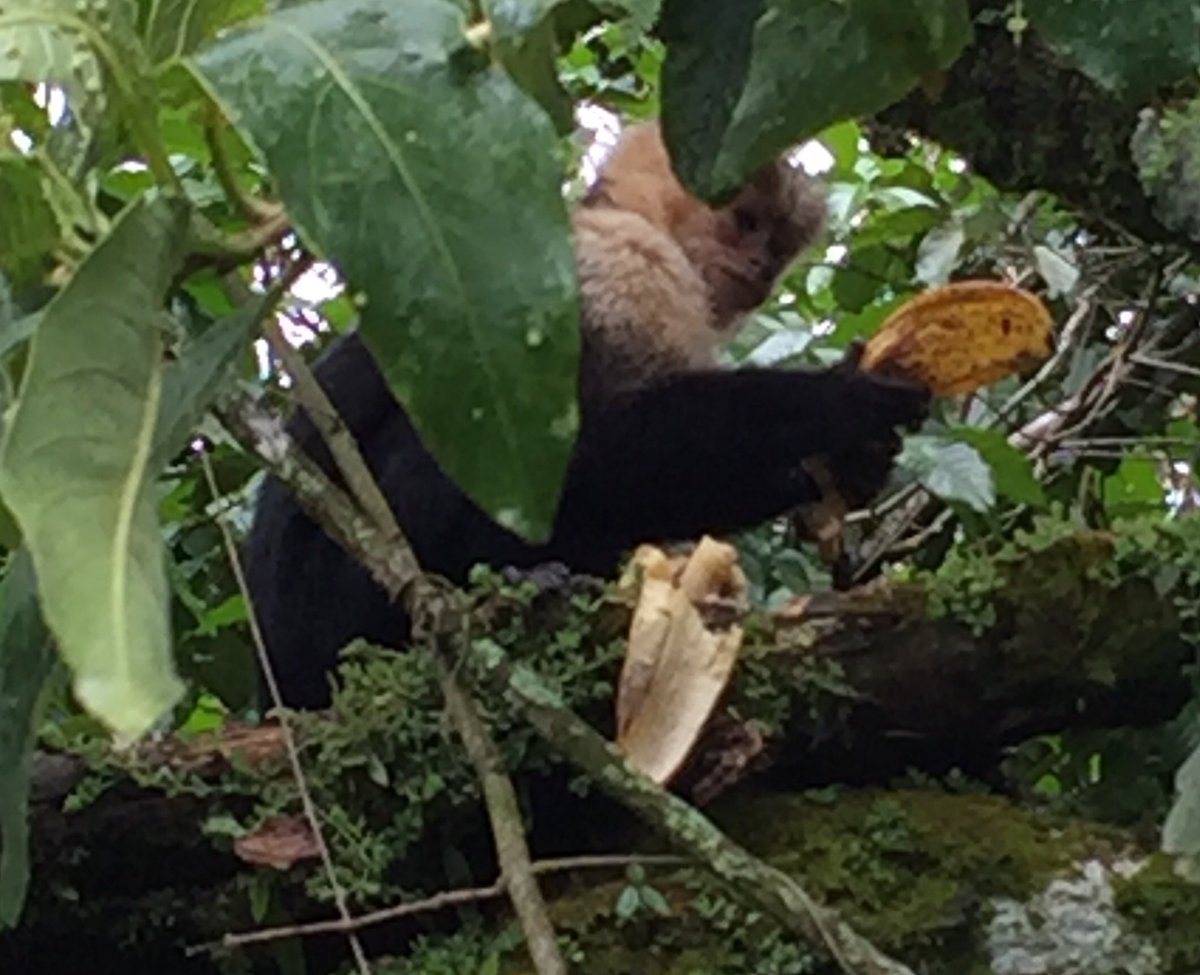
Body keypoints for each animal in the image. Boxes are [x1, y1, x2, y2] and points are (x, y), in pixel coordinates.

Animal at [245, 122, 929, 709]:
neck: (628, 218)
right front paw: (845, 400)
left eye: (780, 244)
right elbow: (583, 456)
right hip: (332, 604)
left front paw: (849, 464)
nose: (762, 270)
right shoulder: (617, 265)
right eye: (746, 221)